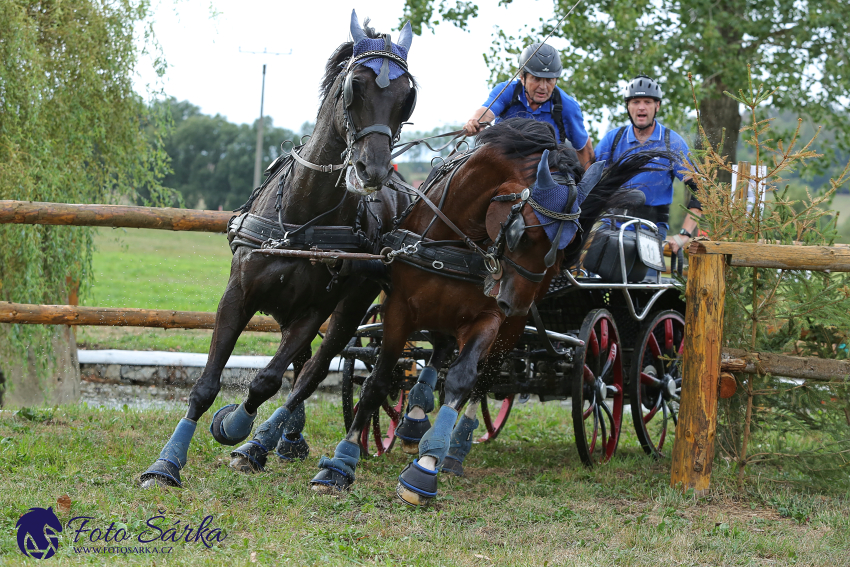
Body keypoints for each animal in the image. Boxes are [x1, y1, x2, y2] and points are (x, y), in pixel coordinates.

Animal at [139, 10, 414, 488]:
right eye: (354, 86)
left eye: (407, 97)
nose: (372, 170)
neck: (304, 215)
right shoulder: (238, 295)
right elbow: (206, 384)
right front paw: (166, 462)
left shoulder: (314, 311)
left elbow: (268, 381)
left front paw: (235, 427)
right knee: (301, 368)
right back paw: (286, 441)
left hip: (351, 305)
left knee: (310, 373)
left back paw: (264, 444)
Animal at [308, 117, 664, 504]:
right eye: (524, 233)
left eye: (568, 241)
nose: (515, 303)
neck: (453, 238)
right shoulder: (399, 309)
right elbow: (377, 381)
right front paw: (340, 464)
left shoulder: (489, 321)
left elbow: (463, 380)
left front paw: (425, 471)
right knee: (438, 355)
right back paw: (415, 419)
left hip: (509, 331)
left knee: (484, 379)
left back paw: (453, 448)